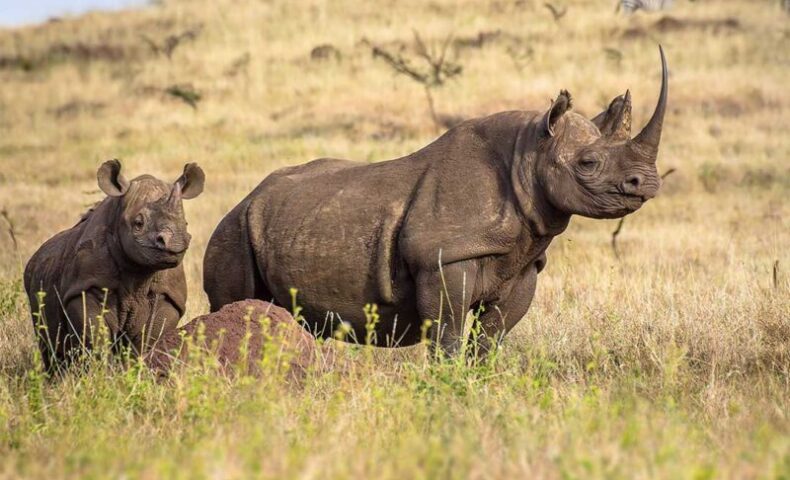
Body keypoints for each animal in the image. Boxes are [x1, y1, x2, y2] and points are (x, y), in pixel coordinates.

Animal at [24, 160, 205, 371]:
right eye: (138, 223)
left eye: (186, 223)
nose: (175, 243)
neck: (138, 273)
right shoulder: (84, 288)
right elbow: (95, 338)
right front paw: (101, 374)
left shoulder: (168, 296)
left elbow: (149, 339)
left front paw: (135, 370)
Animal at [204, 47, 669, 358]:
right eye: (588, 163)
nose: (646, 182)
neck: (528, 156)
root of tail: (244, 198)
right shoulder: (443, 258)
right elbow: (447, 335)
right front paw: (447, 388)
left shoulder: (524, 266)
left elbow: (491, 339)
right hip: (234, 228)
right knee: (234, 301)